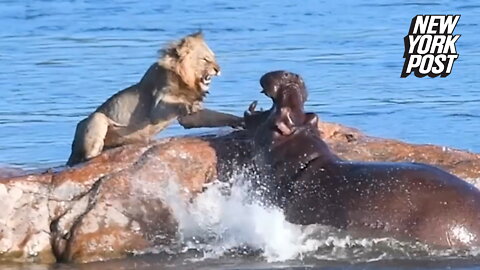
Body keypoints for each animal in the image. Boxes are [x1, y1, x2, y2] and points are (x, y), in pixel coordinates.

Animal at [66, 32, 244, 166]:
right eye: (205, 59)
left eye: (214, 57)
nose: (218, 69)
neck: (186, 79)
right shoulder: (156, 107)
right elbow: (174, 105)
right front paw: (188, 104)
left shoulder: (189, 119)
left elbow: (218, 116)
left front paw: (241, 120)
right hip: (96, 118)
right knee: (87, 155)